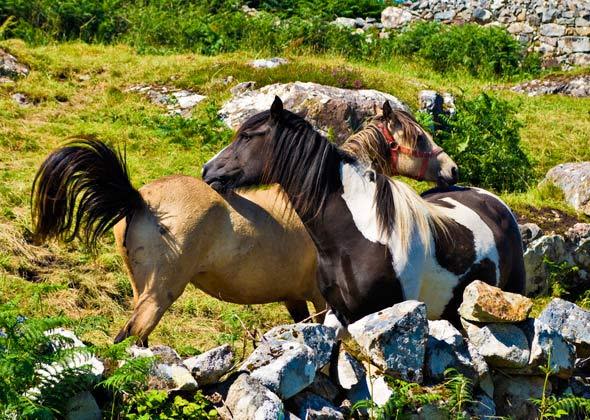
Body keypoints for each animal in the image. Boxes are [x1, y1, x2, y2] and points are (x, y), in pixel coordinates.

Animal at [204, 97, 528, 328]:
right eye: (419, 138)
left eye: (247, 136)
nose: (208, 170)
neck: (355, 235)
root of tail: (492, 200)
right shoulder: (338, 312)